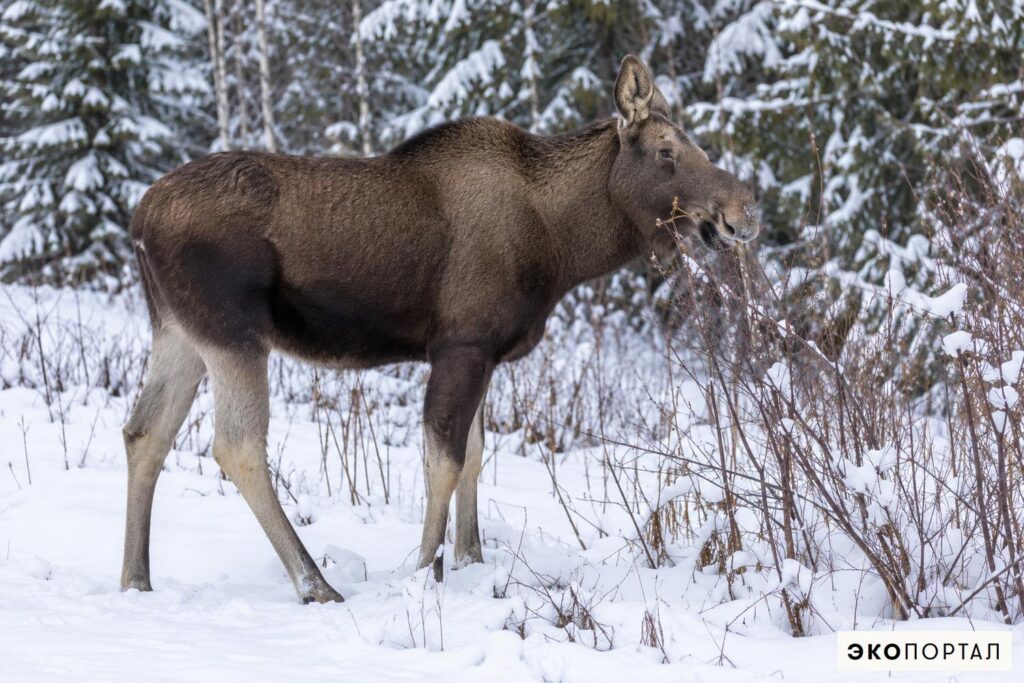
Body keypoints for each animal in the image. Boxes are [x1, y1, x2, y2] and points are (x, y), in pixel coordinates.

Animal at [120, 55, 758, 603]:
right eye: (667, 150)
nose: (743, 212)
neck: (562, 247)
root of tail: (138, 217)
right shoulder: (461, 344)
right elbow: (444, 461)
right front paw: (426, 571)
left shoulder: (483, 354)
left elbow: (474, 455)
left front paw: (471, 559)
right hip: (234, 332)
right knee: (237, 444)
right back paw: (315, 584)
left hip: (180, 330)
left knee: (144, 432)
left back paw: (135, 579)